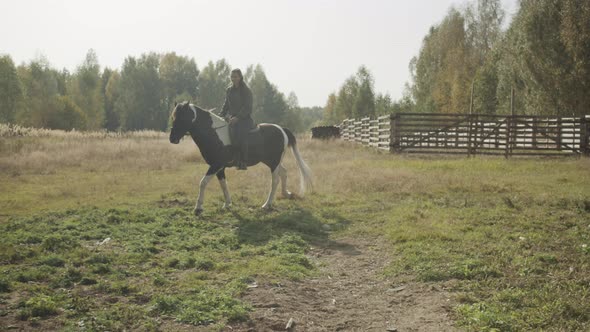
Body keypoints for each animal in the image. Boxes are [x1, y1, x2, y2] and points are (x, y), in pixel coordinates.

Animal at [169, 101, 314, 215]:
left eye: (182, 118)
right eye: (173, 117)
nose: (172, 139)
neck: (214, 133)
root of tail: (281, 129)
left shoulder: (216, 165)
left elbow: (203, 183)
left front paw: (198, 208)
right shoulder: (220, 168)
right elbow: (223, 184)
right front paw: (227, 203)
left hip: (273, 163)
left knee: (275, 181)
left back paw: (267, 204)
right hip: (272, 162)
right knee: (284, 173)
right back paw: (286, 193)